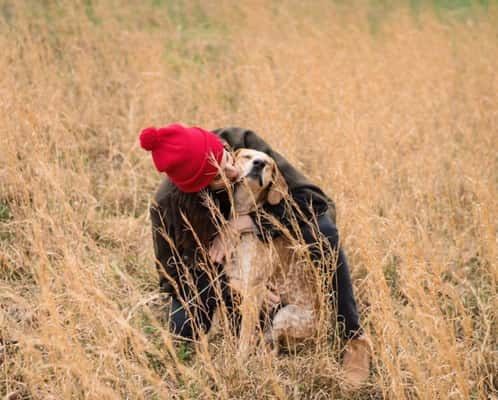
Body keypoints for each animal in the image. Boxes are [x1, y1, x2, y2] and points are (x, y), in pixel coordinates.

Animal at [224, 149, 320, 356]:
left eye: (267, 163)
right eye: (246, 156)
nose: (259, 163)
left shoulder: (254, 287)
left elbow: (245, 334)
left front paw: (239, 358)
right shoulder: (235, 276)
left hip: (283, 316)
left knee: (274, 346)